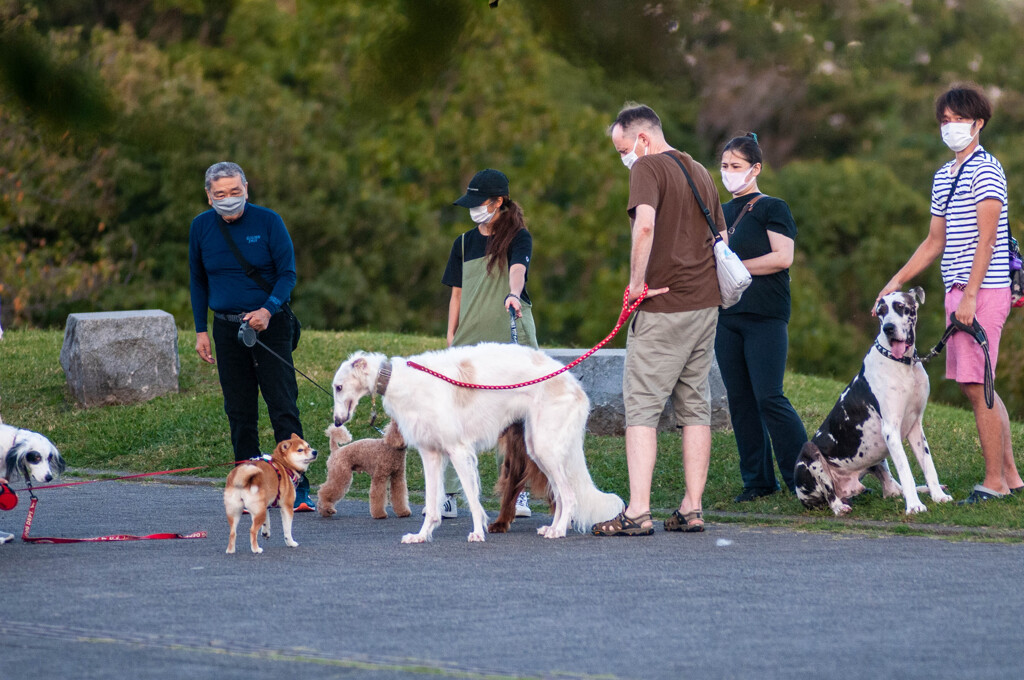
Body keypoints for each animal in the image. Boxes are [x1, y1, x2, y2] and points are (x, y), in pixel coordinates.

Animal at [331, 346, 618, 540]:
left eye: (338, 387)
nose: (336, 421)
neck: (399, 380)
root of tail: (576, 386)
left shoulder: (458, 450)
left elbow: (471, 497)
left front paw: (478, 532)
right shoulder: (431, 453)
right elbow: (432, 503)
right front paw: (421, 536)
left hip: (546, 446)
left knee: (568, 495)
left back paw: (558, 531)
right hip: (538, 448)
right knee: (560, 493)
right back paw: (553, 527)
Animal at [790, 286, 950, 516]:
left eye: (901, 306)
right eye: (881, 311)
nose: (888, 328)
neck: (904, 364)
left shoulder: (915, 426)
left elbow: (928, 464)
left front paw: (937, 495)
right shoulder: (891, 430)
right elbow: (906, 471)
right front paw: (914, 506)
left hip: (879, 458)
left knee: (892, 489)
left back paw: (924, 489)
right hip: (809, 452)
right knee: (830, 494)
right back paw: (839, 507)